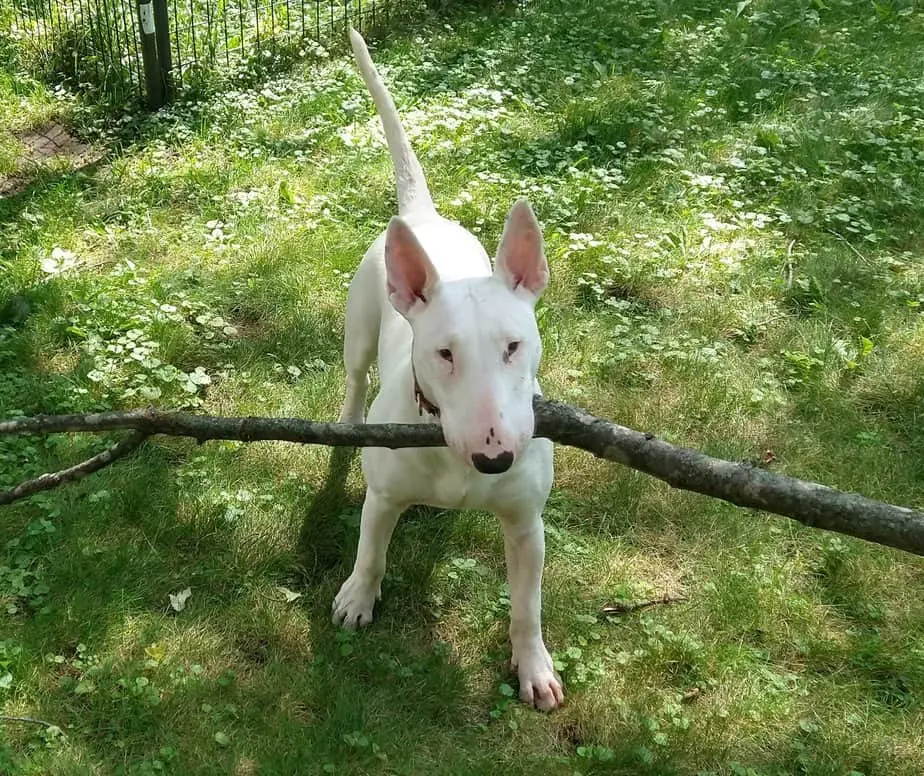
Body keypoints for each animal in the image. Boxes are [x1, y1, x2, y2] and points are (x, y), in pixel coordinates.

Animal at [332, 28, 564, 708]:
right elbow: (371, 549)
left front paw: (533, 667)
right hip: (359, 327)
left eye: (514, 346)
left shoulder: (527, 523)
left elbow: (527, 606)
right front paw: (358, 598)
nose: (495, 458)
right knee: (353, 376)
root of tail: (423, 219)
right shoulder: (384, 498)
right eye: (444, 353)